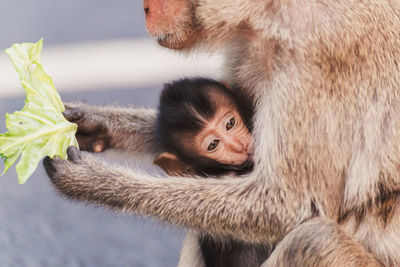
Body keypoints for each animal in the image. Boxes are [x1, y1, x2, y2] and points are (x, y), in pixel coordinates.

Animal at [43, 0, 400, 266]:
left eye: (230, 125)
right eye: (215, 141)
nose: (145, 8)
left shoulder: (315, 56)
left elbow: (289, 205)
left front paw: (96, 182)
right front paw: (95, 125)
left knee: (313, 240)